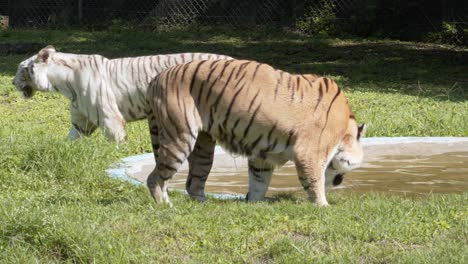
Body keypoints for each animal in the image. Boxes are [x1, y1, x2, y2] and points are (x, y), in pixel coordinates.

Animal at [13, 46, 234, 143]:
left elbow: (116, 141)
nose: (12, 82)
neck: (63, 85)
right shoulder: (82, 121)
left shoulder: (109, 117)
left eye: (21, 68)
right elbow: (71, 138)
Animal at [146, 59, 366, 206]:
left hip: (203, 147)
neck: (345, 127)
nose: (339, 182)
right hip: (180, 138)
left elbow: (259, 181)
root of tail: (157, 78)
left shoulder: (263, 155)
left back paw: (203, 204)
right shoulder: (310, 152)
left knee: (193, 182)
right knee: (155, 178)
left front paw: (253, 203)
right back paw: (165, 205)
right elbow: (315, 179)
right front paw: (323, 206)